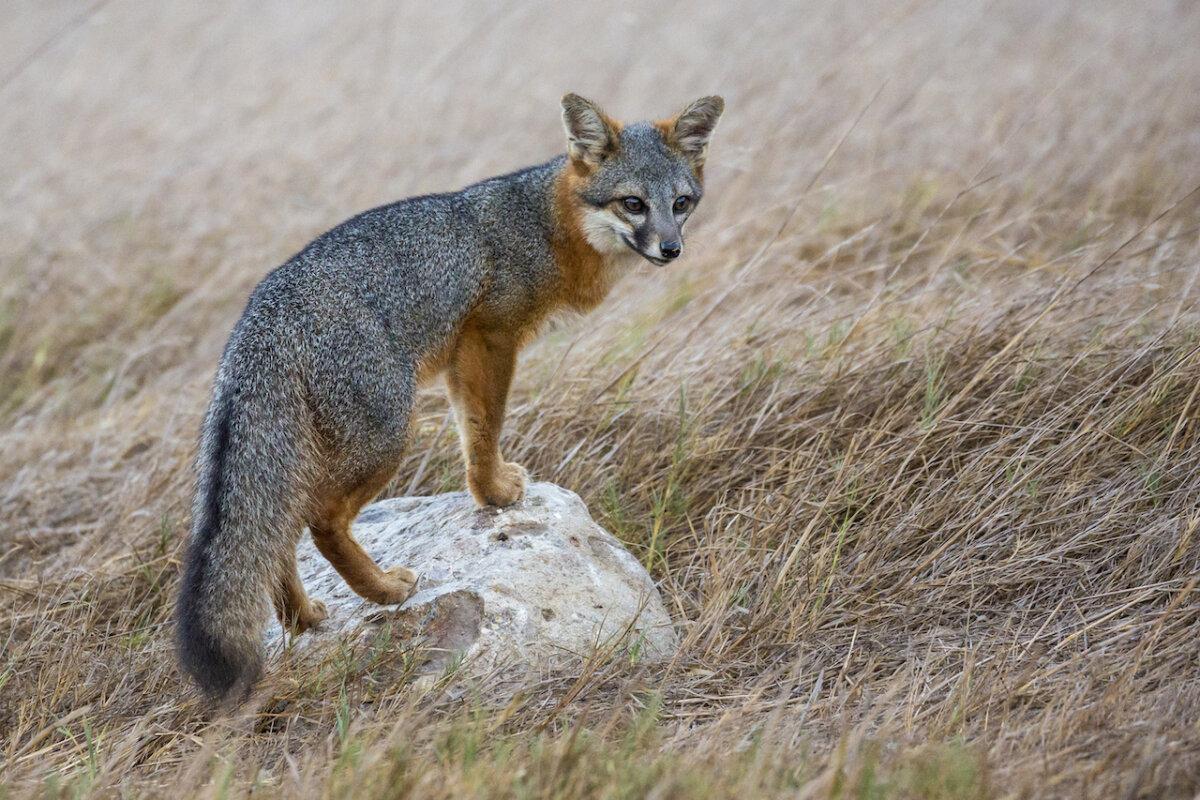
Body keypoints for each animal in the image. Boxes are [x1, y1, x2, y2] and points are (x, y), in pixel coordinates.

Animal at [175, 93, 724, 703]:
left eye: (680, 203)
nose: (671, 249)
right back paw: (384, 590)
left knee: (279, 533)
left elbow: (471, 429)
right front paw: (496, 494)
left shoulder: (463, 358)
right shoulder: (491, 339)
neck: (547, 223)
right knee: (321, 521)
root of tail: (260, 317)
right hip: (388, 435)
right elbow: (486, 428)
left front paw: (487, 492)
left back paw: (303, 617)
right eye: (633, 204)